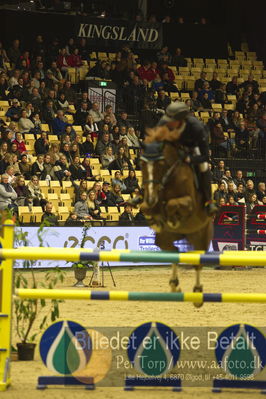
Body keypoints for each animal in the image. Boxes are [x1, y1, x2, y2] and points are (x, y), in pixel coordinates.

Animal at [140, 126, 213, 308]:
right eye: (142, 163)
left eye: (160, 164)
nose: (150, 197)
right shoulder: (151, 201)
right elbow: (145, 208)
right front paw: (156, 221)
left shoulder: (189, 202)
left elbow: (172, 204)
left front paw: (172, 219)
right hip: (164, 240)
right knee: (174, 251)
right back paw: (174, 285)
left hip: (201, 237)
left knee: (197, 264)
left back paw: (197, 293)